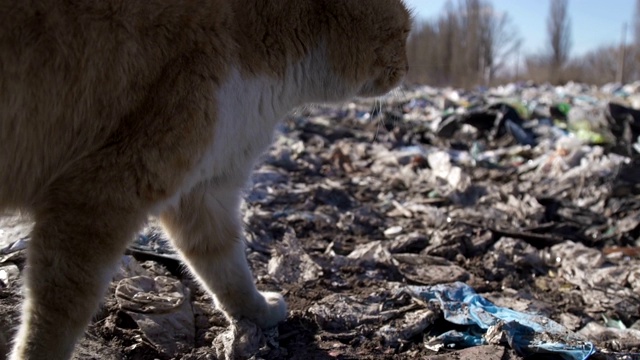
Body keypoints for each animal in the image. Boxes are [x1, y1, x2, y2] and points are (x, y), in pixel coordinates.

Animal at [0, 0, 410, 358]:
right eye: (405, 32)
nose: (406, 69)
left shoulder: (203, 194)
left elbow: (226, 266)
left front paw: (258, 312)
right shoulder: (100, 193)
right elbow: (57, 312)